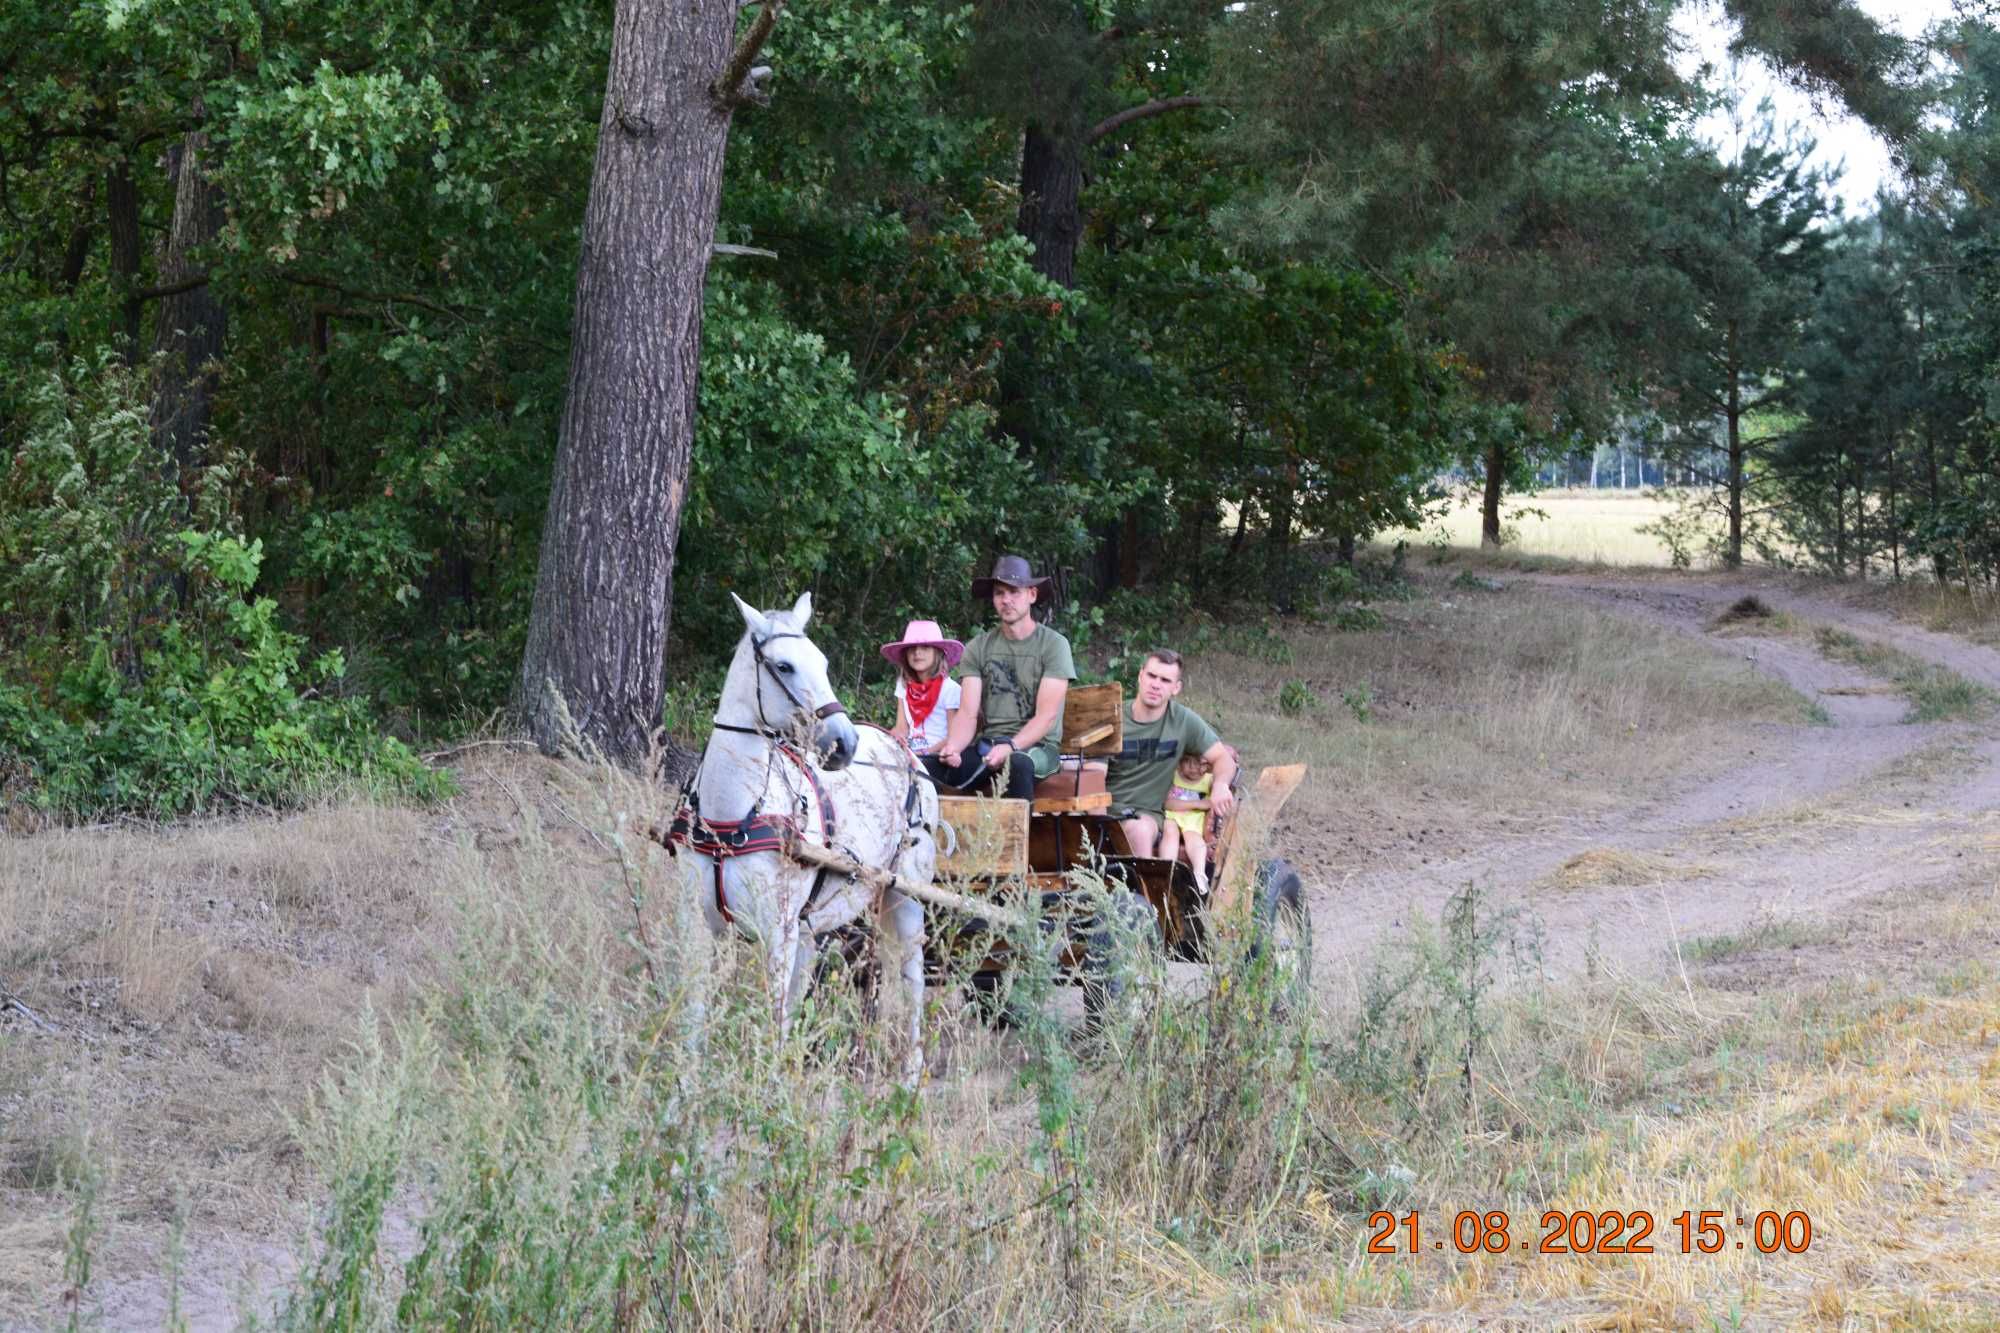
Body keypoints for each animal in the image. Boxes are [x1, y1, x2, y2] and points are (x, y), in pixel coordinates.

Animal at [664, 592, 928, 1080]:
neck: (732, 817)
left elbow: (772, 1014)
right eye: (783, 666)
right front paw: (685, 1089)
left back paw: (911, 1071)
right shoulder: (697, 924)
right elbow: (695, 1014)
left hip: (906, 898)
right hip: (817, 921)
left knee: (912, 978)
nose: (844, 743)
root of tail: (904, 752)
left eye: (822, 662)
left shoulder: (777, 931)